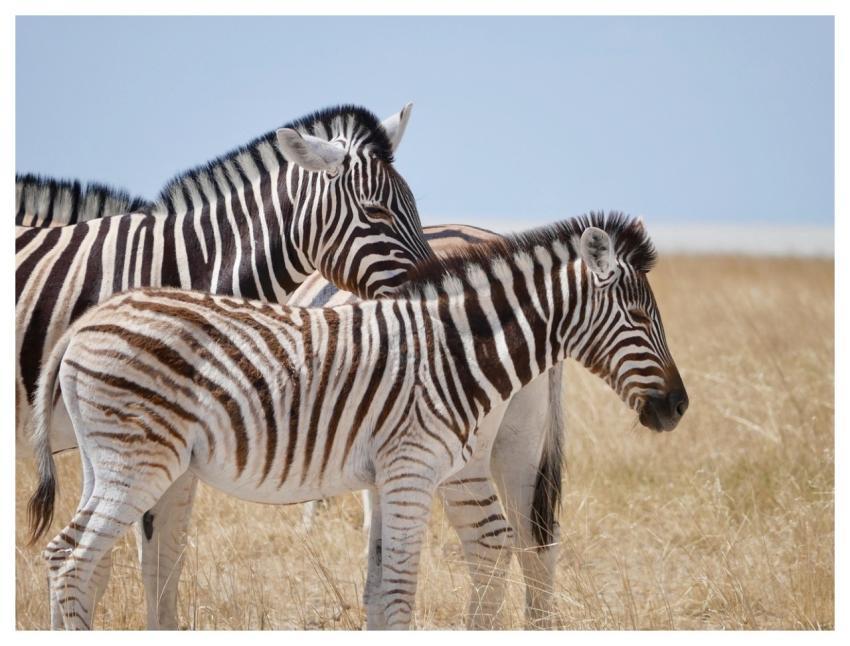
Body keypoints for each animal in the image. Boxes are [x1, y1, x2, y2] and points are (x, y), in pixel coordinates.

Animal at [28, 212, 688, 630]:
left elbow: (385, 588)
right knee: (73, 557)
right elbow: (396, 592)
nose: (679, 407)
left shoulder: (395, 474)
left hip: (108, 460)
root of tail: (82, 326)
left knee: (67, 557)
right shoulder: (410, 469)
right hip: (138, 462)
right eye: (637, 315)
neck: (454, 348)